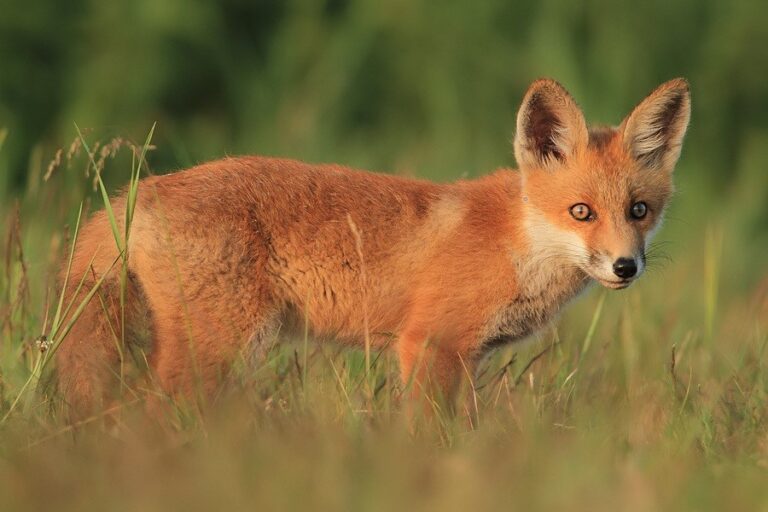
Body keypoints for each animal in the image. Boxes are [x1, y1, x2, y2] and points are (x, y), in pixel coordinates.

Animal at [58, 79, 688, 416]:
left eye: (639, 211)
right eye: (582, 212)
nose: (626, 266)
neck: (518, 244)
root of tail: (136, 191)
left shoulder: (468, 358)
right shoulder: (429, 346)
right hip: (219, 348)